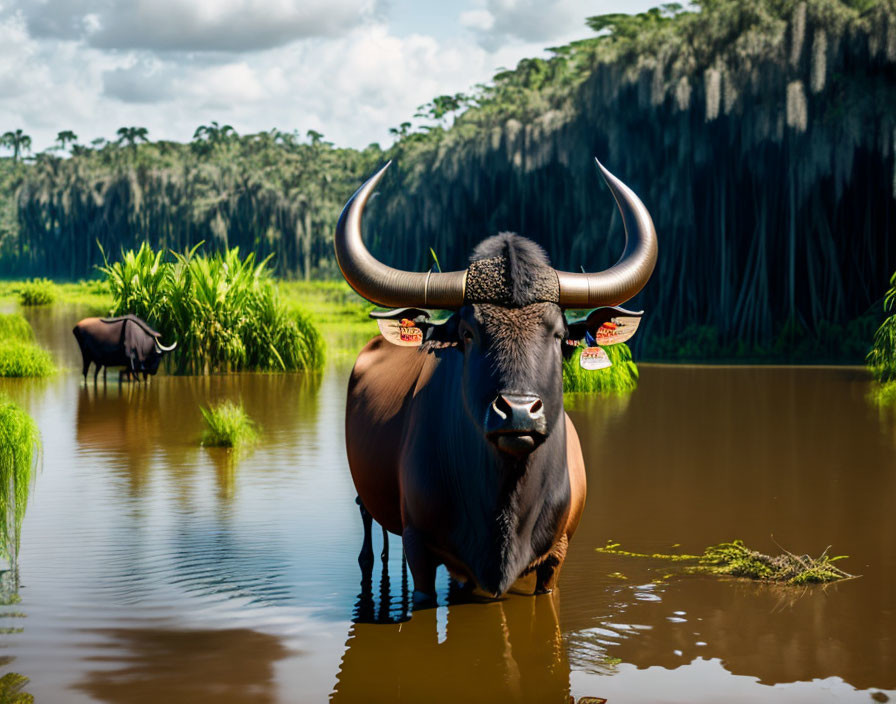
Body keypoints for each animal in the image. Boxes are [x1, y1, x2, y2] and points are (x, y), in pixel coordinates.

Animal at [336, 162, 656, 604]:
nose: (518, 412)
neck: (505, 500)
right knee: (370, 540)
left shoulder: (556, 556)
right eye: (469, 333)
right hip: (366, 499)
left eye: (558, 334)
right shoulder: (420, 549)